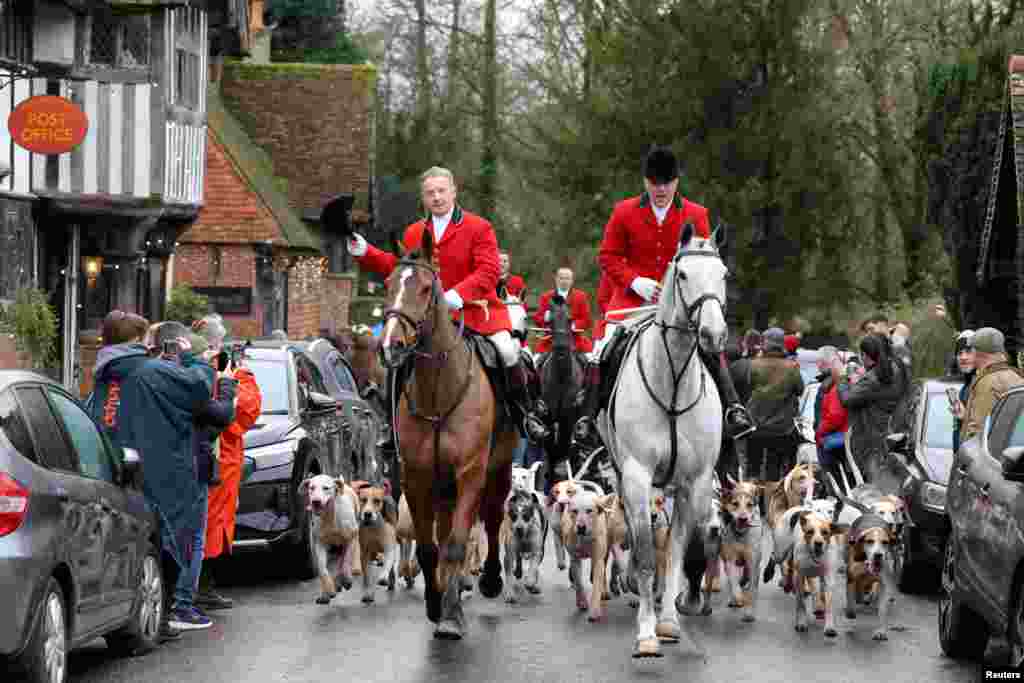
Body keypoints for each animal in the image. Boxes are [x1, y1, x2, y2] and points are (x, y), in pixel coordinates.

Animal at [380, 231, 516, 643]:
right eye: (388, 284)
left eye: (426, 288)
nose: (390, 346)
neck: (439, 390)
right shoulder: (417, 477)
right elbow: (429, 548)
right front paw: (436, 603)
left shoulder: (470, 473)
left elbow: (456, 544)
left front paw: (452, 616)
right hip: (442, 487)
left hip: (497, 470)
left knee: (491, 519)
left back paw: (489, 580)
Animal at [598, 223, 733, 655]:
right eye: (684, 274)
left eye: (724, 275)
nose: (713, 334)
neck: (671, 381)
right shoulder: (638, 474)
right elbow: (644, 552)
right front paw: (646, 632)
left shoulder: (695, 481)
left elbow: (675, 549)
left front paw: (670, 621)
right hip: (623, 474)